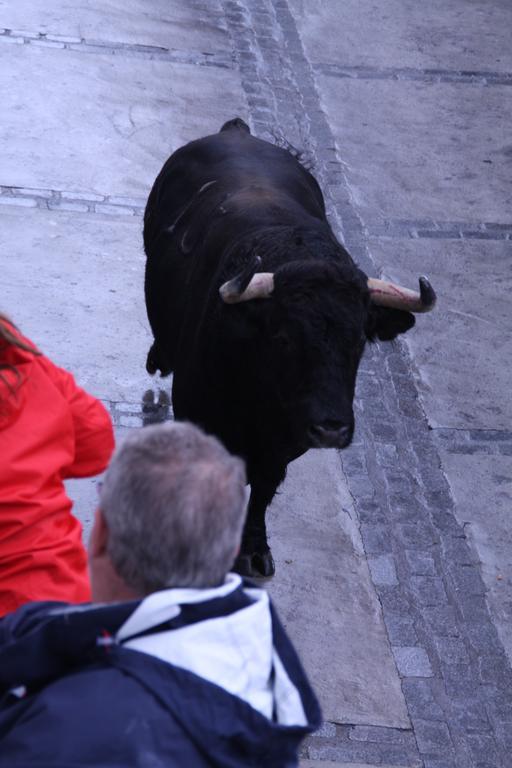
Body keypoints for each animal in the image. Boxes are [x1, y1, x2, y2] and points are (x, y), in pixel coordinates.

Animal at [144, 118, 436, 576]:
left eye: (359, 341)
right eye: (283, 337)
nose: (331, 429)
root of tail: (237, 131)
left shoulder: (283, 446)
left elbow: (263, 490)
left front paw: (254, 549)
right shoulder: (198, 413)